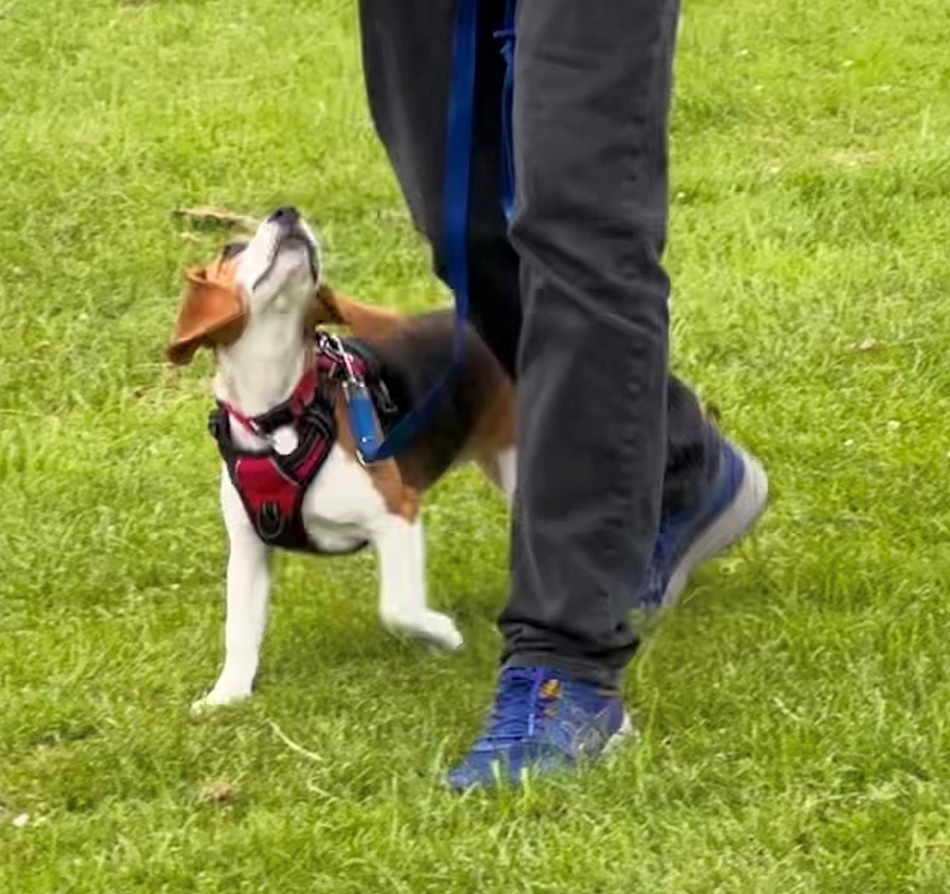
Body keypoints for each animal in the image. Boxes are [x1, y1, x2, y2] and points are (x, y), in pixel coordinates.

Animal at [167, 206, 516, 712]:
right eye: (230, 250)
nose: (287, 211)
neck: (280, 416)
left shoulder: (397, 512)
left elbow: (398, 608)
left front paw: (443, 634)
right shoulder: (249, 545)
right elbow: (240, 629)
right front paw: (227, 695)